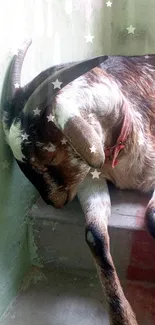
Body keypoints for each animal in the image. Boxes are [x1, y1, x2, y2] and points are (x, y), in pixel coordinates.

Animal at [1, 38, 155, 324]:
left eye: (47, 156)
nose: (52, 202)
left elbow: (151, 218)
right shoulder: (89, 180)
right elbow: (94, 234)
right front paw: (123, 316)